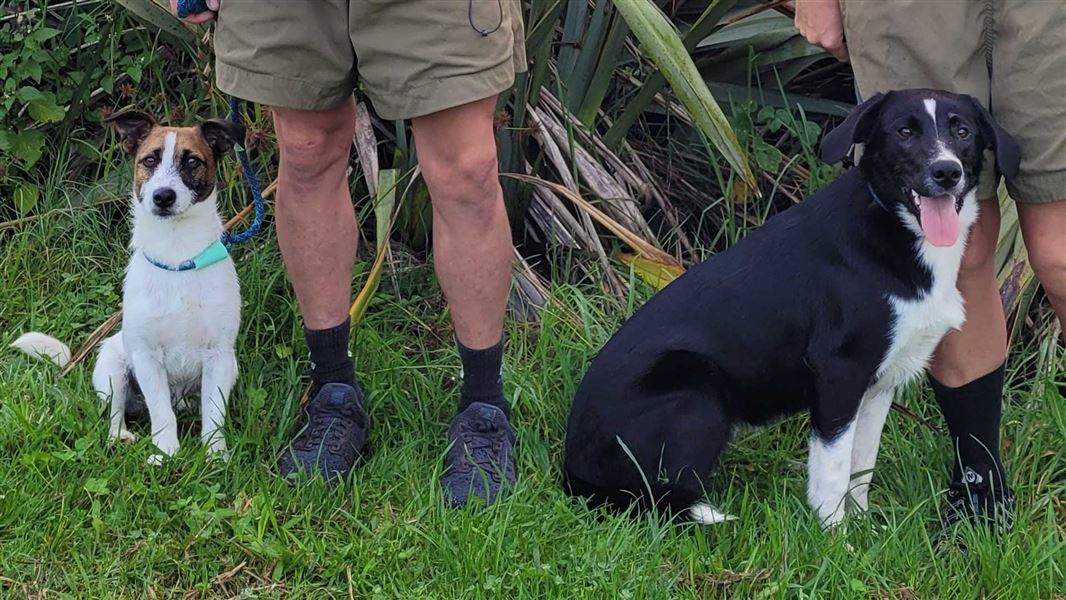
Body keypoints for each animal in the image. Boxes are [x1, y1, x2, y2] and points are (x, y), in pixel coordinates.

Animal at [562, 87, 1019, 526]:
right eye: (904, 132)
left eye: (962, 131)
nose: (947, 172)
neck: (894, 226)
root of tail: (574, 474)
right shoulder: (839, 372)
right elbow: (833, 475)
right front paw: (836, 540)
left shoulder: (879, 382)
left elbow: (861, 468)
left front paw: (865, 528)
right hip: (698, 393)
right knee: (662, 501)